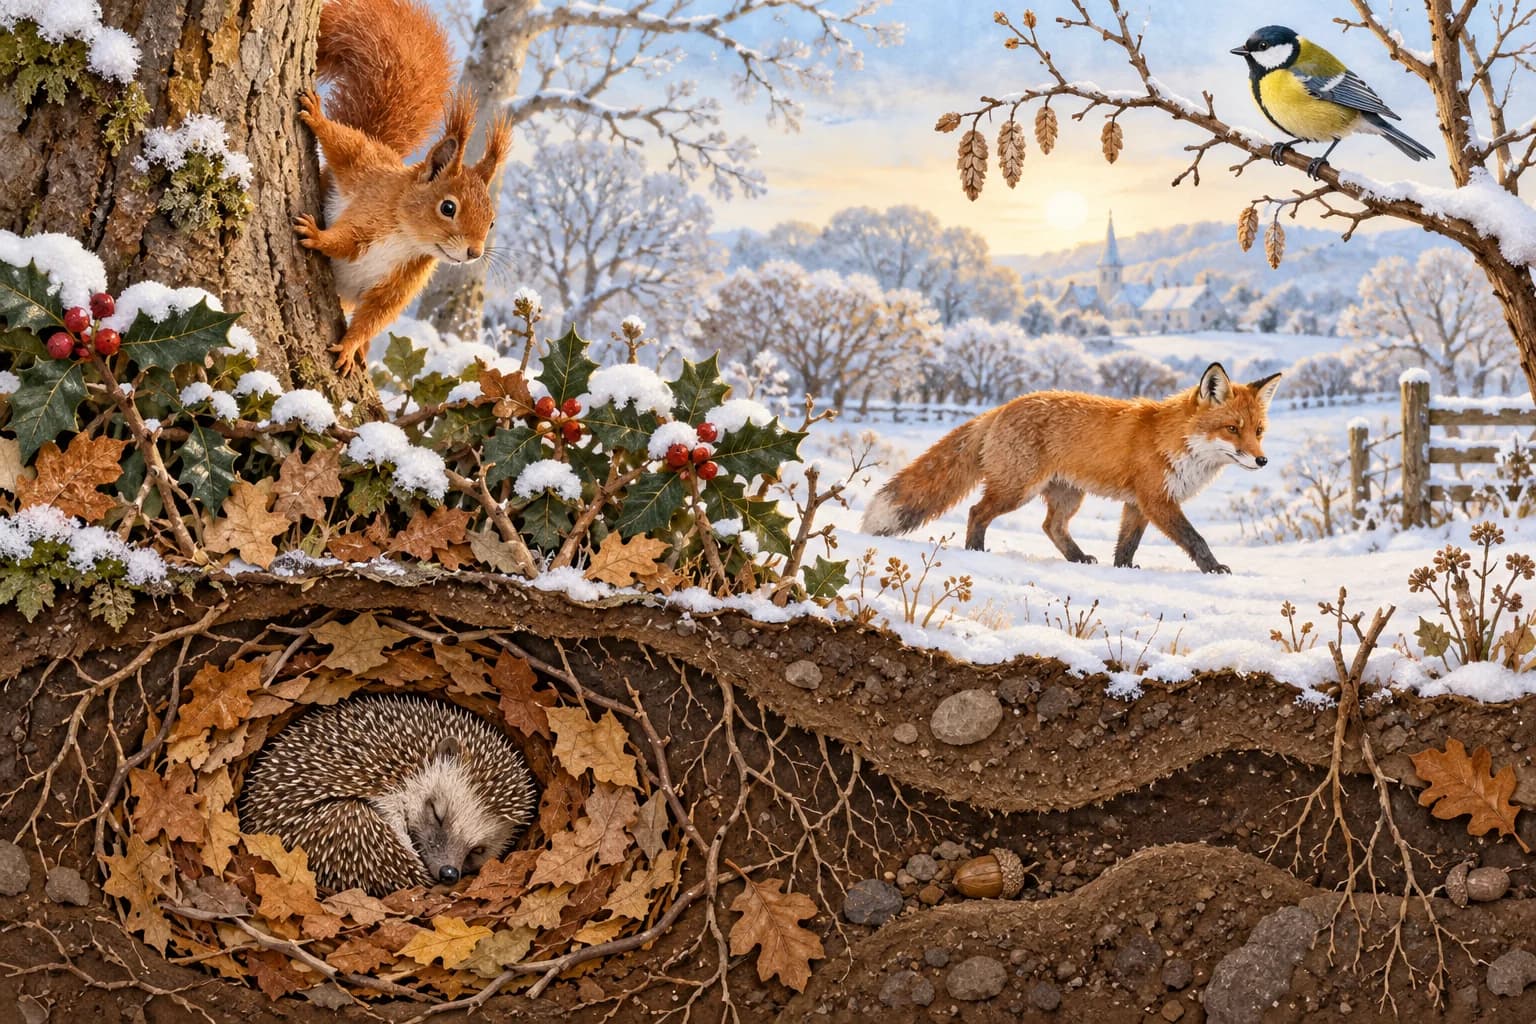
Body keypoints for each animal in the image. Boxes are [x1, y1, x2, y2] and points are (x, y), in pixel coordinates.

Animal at [295, 0, 512, 374]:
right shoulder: (371, 203)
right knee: (349, 143)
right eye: (448, 207)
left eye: (492, 221)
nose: (475, 252)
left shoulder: (402, 282)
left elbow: (376, 315)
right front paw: (319, 236)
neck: (408, 239)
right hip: (365, 157)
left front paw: (351, 346)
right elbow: (345, 239)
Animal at [861, 363, 1282, 574]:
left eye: (1259, 431)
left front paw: (1123, 570)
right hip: (1017, 489)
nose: (1262, 460)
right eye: (1232, 429)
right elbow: (1195, 539)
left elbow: (1126, 544)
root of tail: (1003, 406)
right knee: (977, 511)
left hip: (1067, 495)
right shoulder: (1157, 499)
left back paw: (1078, 558)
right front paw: (1214, 568)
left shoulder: (1138, 503)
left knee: (1051, 526)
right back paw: (975, 551)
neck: (1176, 441)